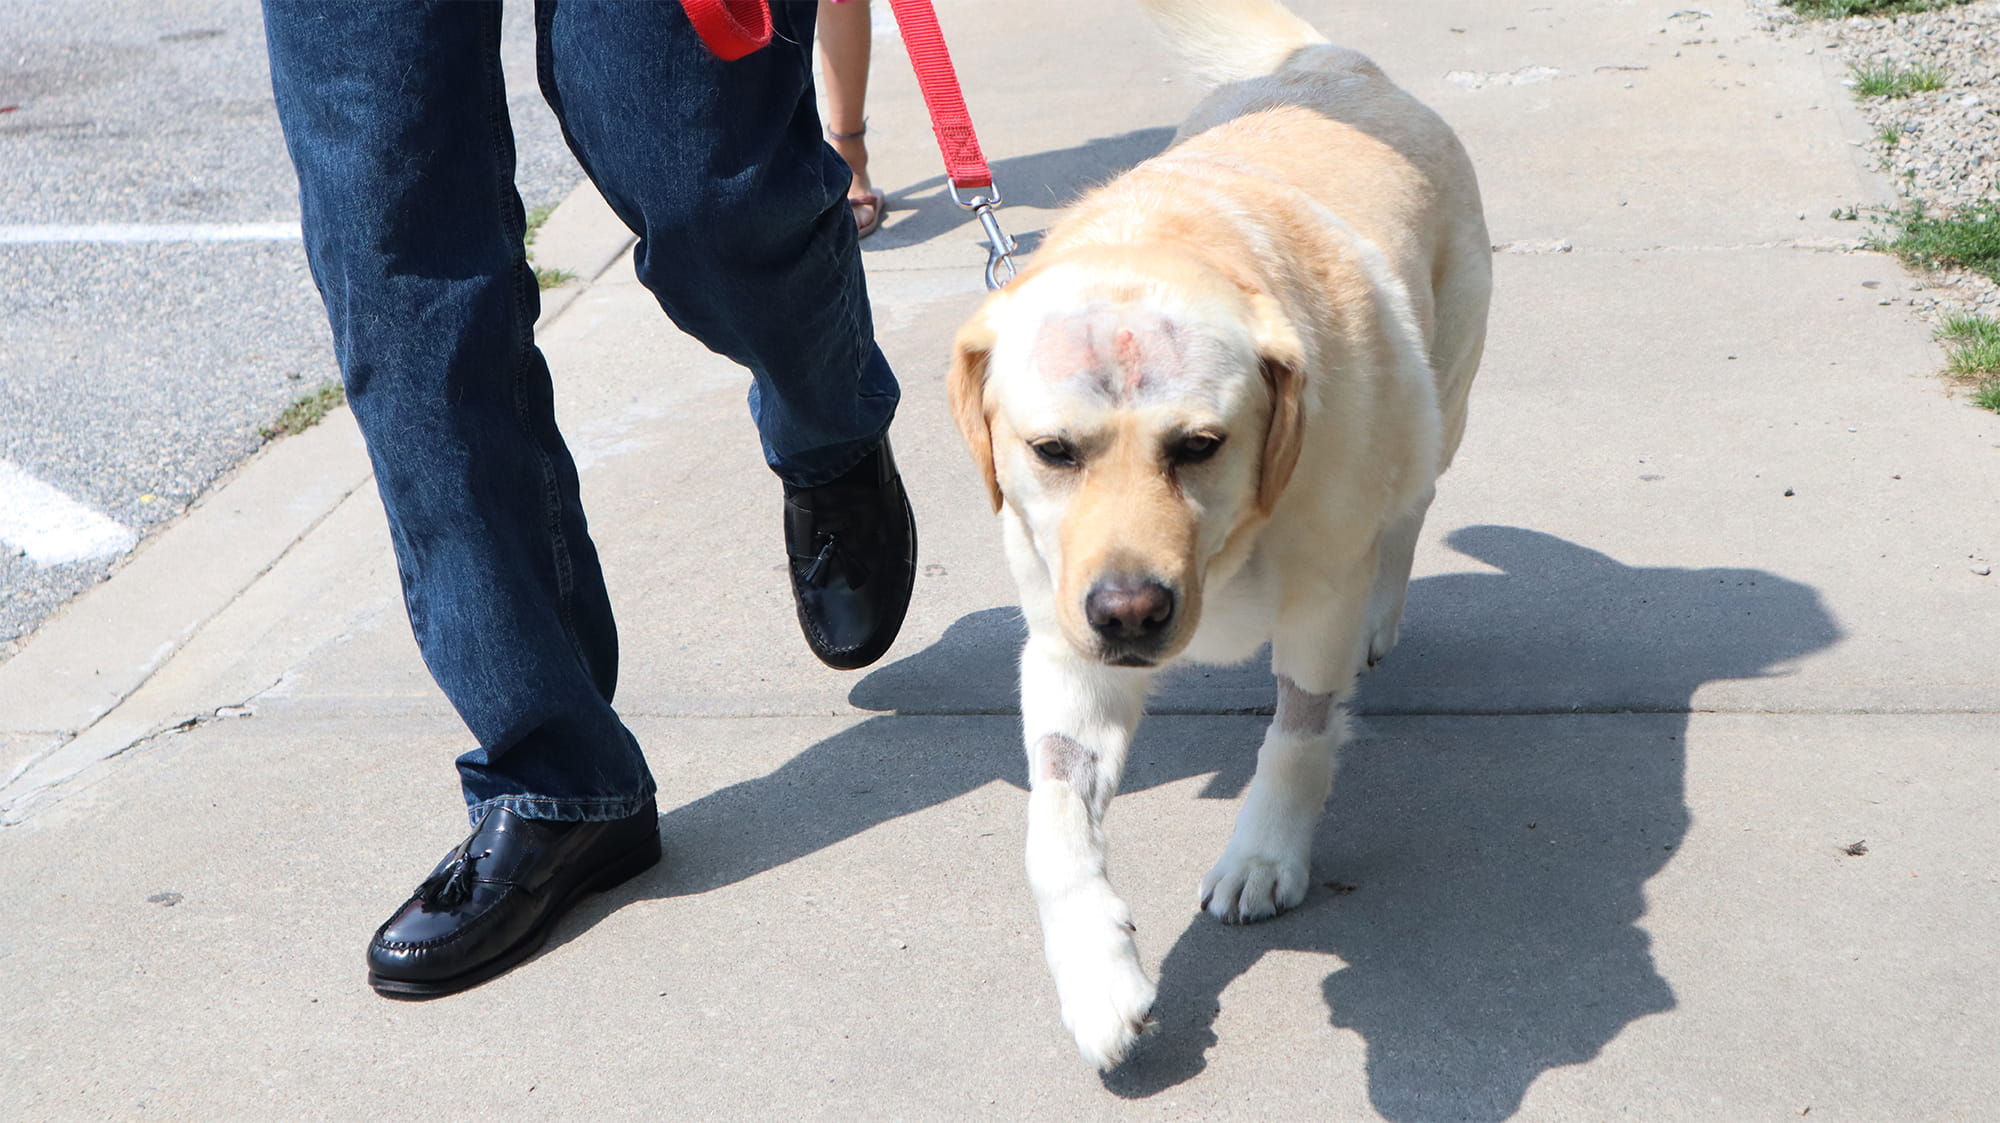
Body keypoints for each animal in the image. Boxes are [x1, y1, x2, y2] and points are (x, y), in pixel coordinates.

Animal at [948, 0, 1488, 1063]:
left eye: (1201, 444)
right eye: (1052, 450)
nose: (1127, 612)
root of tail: (1331, 61)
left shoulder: (1319, 601)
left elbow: (1299, 734)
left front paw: (1265, 853)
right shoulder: (1061, 647)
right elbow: (1053, 818)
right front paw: (1097, 974)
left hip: (1439, 405)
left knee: (1408, 511)